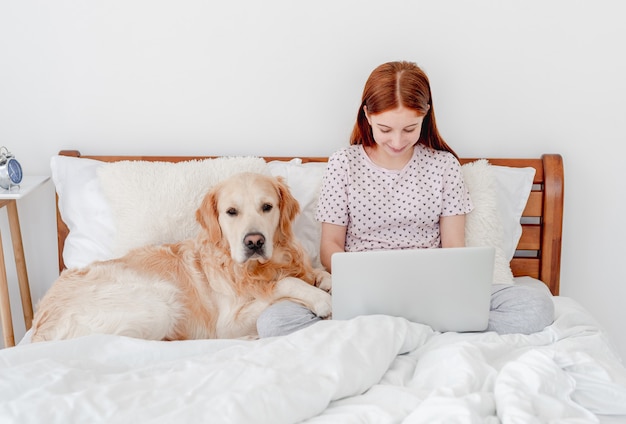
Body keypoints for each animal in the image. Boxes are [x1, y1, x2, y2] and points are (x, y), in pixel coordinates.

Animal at [30, 172, 332, 342]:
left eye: (267, 207)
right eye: (231, 212)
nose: (254, 242)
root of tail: (39, 326)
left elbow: (313, 271)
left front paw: (324, 279)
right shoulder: (227, 325)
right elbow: (284, 284)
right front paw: (321, 299)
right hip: (160, 302)